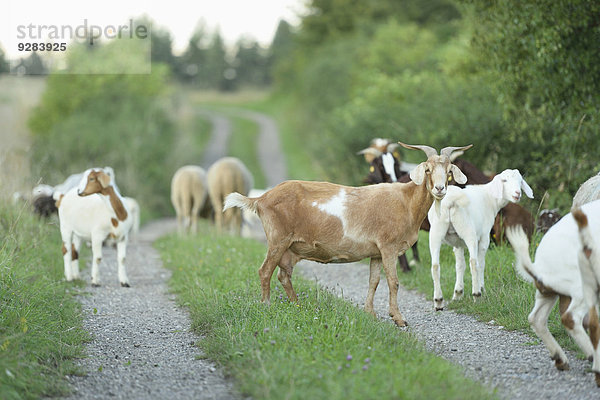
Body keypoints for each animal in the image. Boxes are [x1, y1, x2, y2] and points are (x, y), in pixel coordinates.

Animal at [223, 142, 472, 326]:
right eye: (428, 169)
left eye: (449, 171)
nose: (439, 189)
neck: (406, 200)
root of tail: (261, 199)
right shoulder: (389, 247)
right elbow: (393, 282)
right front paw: (399, 319)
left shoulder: (376, 252)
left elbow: (374, 281)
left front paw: (370, 313)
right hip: (278, 239)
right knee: (265, 271)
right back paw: (266, 305)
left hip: (290, 248)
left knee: (283, 276)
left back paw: (297, 306)